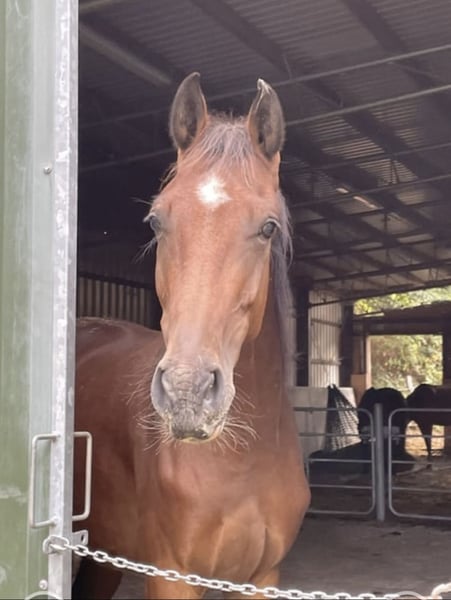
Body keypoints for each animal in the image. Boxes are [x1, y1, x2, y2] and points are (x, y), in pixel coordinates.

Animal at [73, 73, 310, 599]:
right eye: (156, 220)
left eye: (268, 227)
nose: (188, 393)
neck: (241, 463)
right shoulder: (171, 575)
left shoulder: (264, 578)